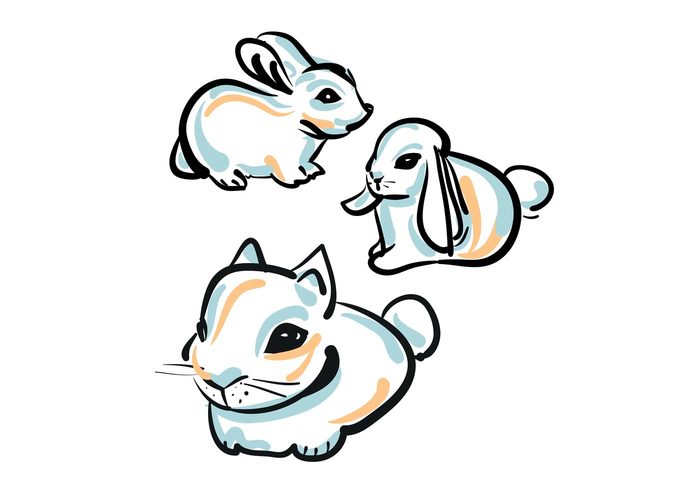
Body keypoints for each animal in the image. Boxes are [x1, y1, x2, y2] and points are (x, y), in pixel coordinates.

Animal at [170, 32, 373, 190]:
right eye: (328, 96)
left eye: (352, 79)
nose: (367, 112)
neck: (298, 123)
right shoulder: (282, 158)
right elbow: (286, 171)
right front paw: (298, 180)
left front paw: (312, 170)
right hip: (216, 156)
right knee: (217, 169)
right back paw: (234, 180)